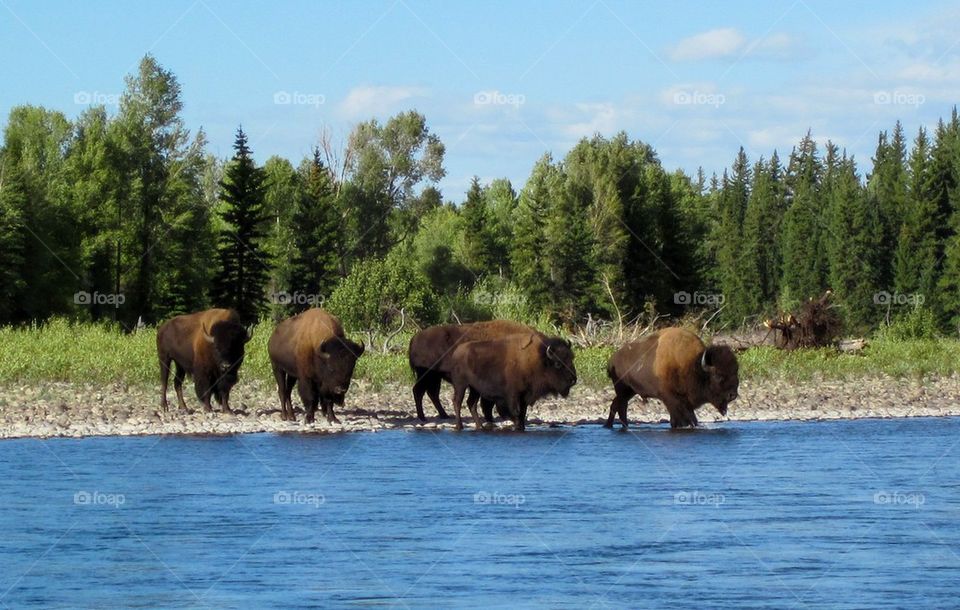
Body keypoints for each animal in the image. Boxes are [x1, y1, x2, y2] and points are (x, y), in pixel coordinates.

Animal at [406, 320, 536, 420]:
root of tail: (414, 338)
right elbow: (487, 403)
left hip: (434, 377)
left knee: (431, 393)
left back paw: (444, 415)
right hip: (426, 375)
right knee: (419, 391)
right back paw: (423, 417)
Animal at [604, 328, 740, 428]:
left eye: (736, 372)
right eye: (718, 375)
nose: (732, 395)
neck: (692, 365)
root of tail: (612, 360)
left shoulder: (685, 401)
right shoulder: (671, 398)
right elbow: (683, 418)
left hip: (630, 391)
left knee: (616, 404)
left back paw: (610, 425)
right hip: (622, 389)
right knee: (621, 406)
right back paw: (622, 426)